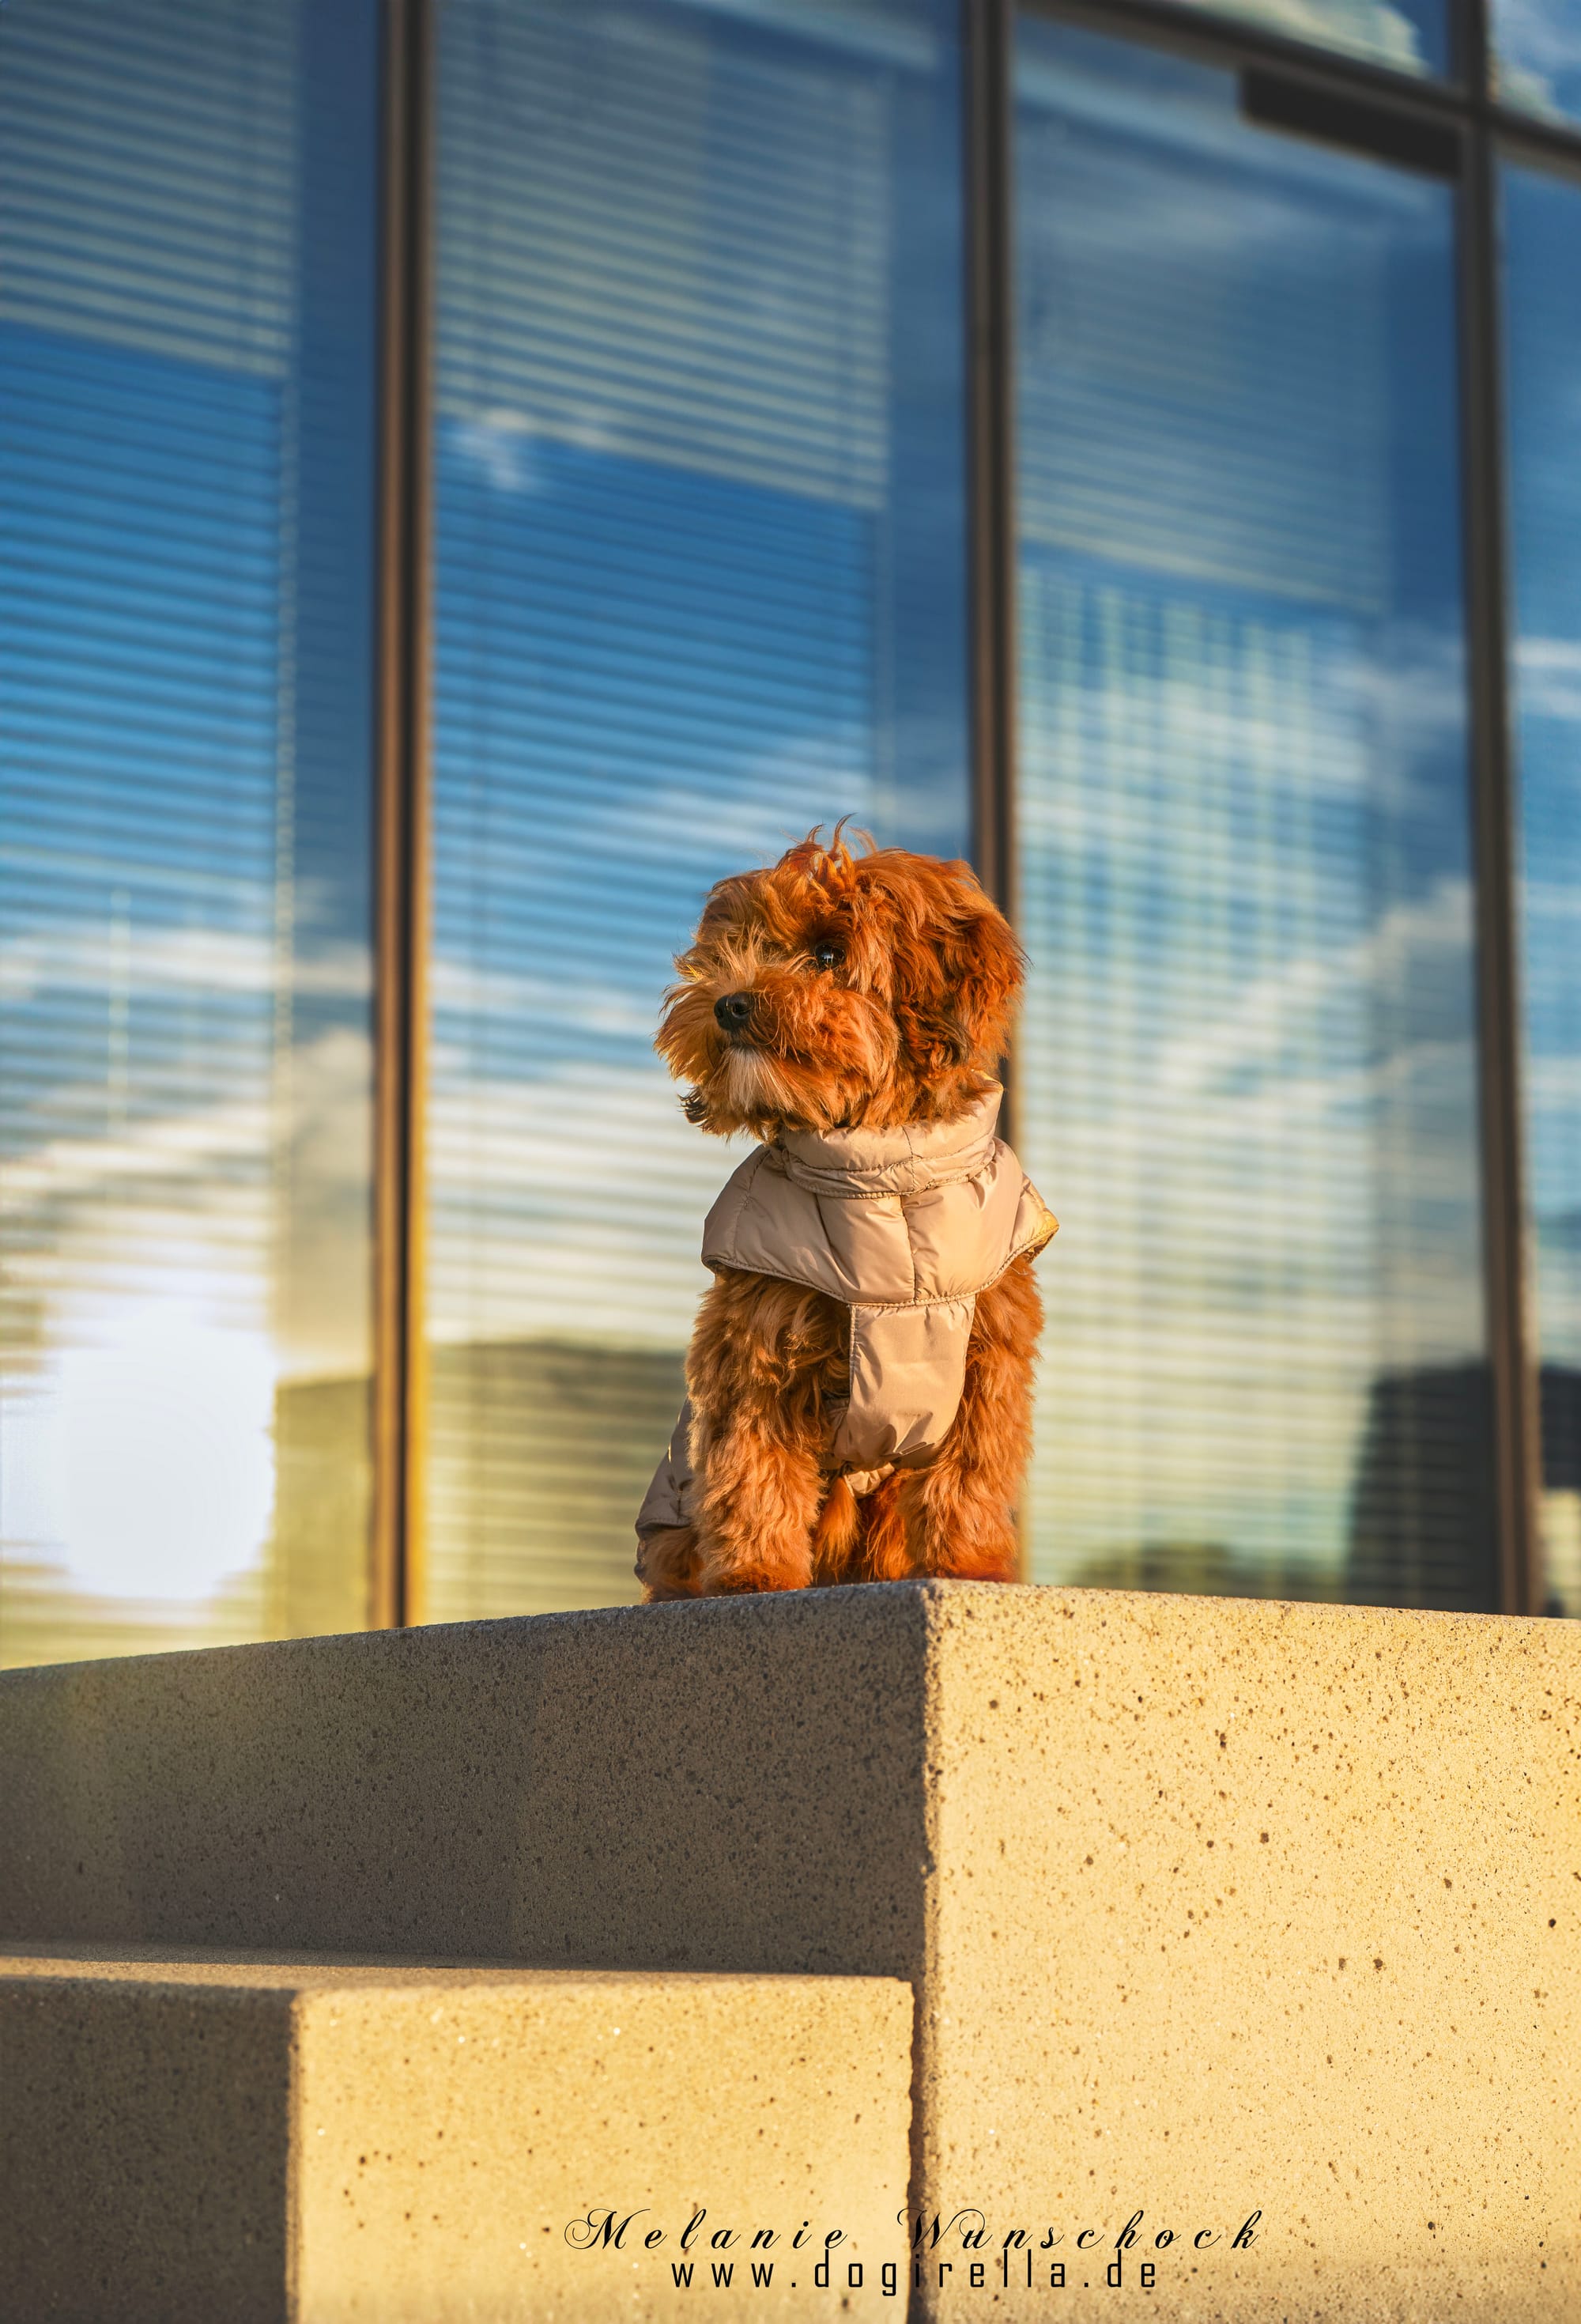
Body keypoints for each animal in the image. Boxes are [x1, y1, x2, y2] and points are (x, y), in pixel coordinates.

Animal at [626, 827, 1049, 1608]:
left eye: (826, 954)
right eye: (734, 947)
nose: (729, 1004)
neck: (884, 1176)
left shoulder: (987, 1351)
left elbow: (968, 1472)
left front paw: (970, 1565)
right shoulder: (758, 1343)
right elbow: (752, 1469)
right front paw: (756, 1576)